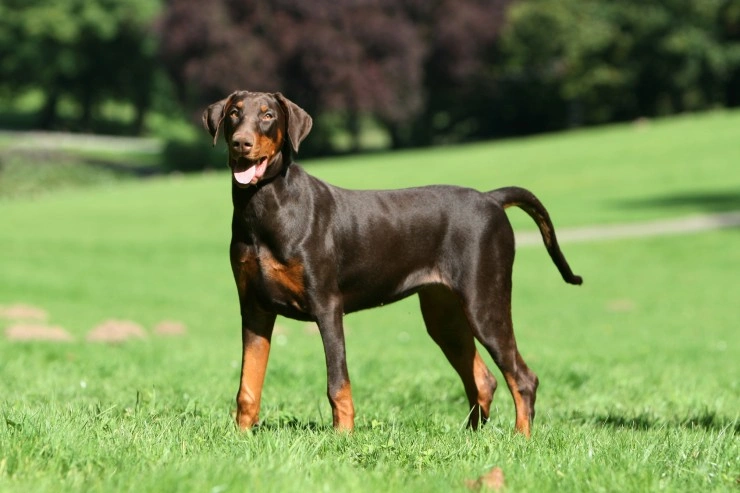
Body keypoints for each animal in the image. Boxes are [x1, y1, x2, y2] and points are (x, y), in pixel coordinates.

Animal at [204, 89, 584, 434]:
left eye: (268, 115)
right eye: (235, 113)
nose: (240, 143)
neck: (264, 206)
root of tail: (491, 199)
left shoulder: (326, 306)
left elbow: (337, 383)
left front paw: (342, 438)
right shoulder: (254, 309)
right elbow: (247, 386)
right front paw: (241, 437)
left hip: (485, 304)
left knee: (522, 377)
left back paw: (521, 437)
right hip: (444, 314)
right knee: (483, 379)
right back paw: (471, 437)